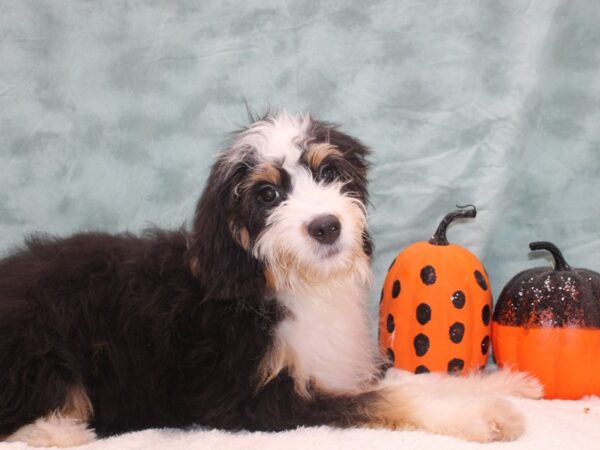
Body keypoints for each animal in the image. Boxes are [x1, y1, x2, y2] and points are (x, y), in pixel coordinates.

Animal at [0, 111, 540, 446]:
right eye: (266, 195)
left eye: (329, 172)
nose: (326, 226)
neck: (285, 283)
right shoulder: (252, 401)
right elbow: (386, 397)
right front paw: (480, 415)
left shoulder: (337, 364)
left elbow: (413, 378)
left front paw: (506, 383)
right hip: (40, 348)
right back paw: (58, 431)